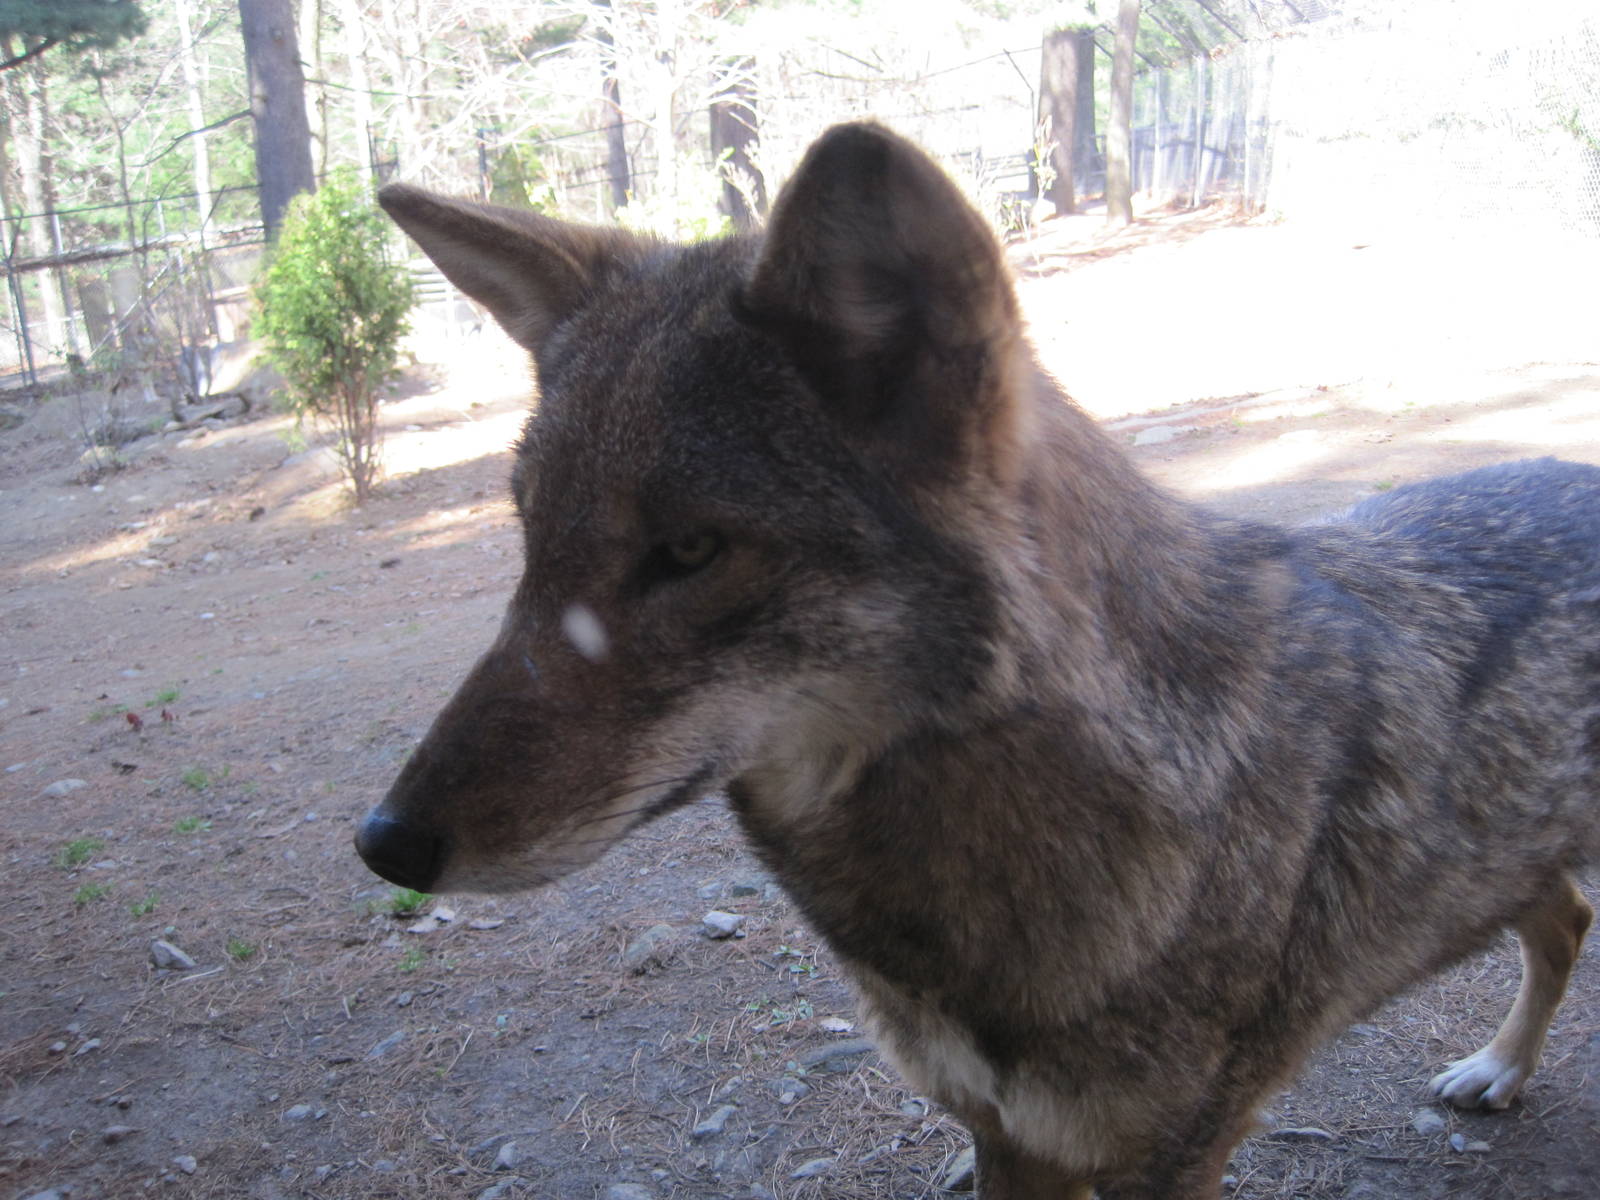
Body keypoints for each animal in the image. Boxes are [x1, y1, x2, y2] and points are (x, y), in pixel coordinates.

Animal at [356, 122, 1600, 1198]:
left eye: (690, 550)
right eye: (530, 536)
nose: (383, 844)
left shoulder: (1171, 1156)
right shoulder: (1006, 1136)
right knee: (1564, 919)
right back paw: (1498, 1070)